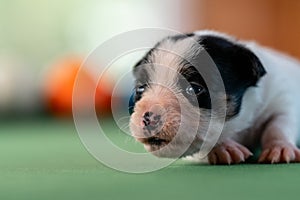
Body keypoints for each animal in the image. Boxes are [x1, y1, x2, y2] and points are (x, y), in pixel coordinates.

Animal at [128, 30, 300, 164]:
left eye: (195, 88)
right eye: (140, 89)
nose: (148, 117)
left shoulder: (281, 101)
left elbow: (278, 125)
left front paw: (280, 147)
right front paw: (224, 147)